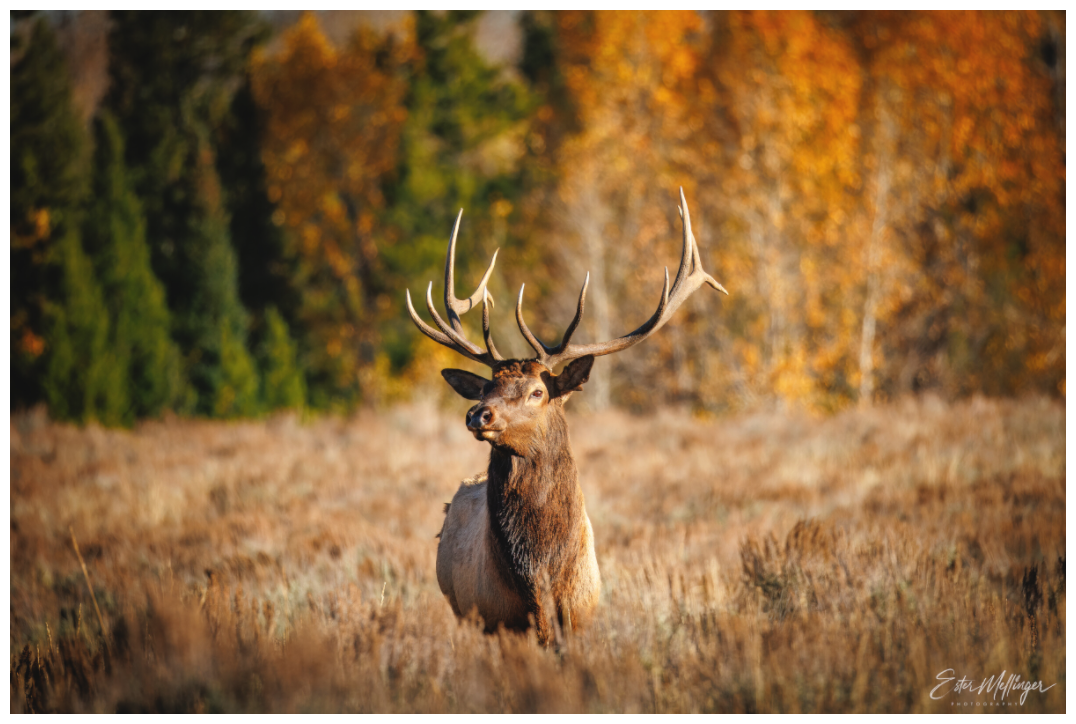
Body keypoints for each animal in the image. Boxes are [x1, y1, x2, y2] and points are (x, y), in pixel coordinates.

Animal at [405, 188, 727, 646]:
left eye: (538, 392)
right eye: (486, 387)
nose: (478, 415)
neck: (539, 582)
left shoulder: (578, 621)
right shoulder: (500, 623)